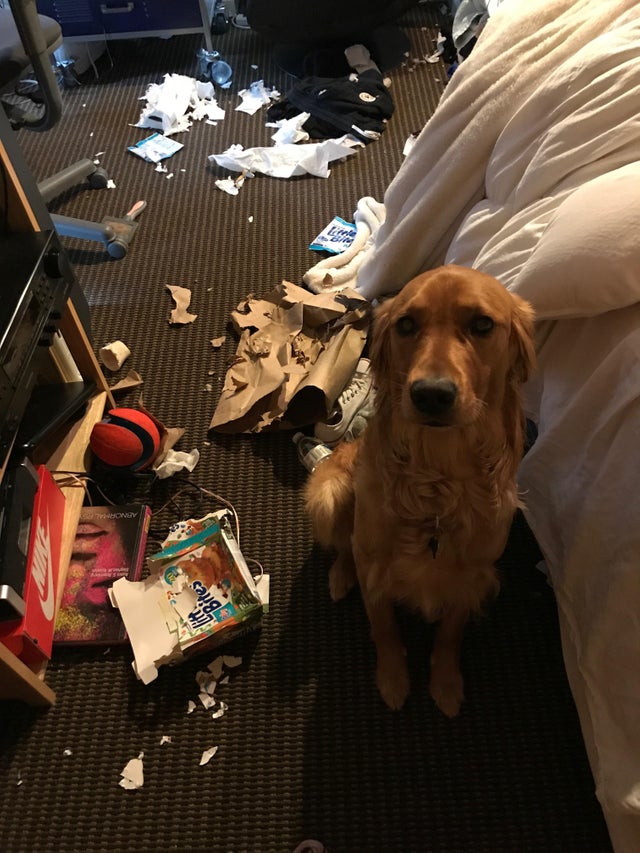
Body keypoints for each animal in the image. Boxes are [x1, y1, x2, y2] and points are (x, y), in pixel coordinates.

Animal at [304, 262, 536, 716]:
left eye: (483, 324)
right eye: (407, 324)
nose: (431, 394)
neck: (438, 482)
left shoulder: (472, 574)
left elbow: (450, 633)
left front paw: (445, 683)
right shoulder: (374, 564)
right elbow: (384, 627)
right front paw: (393, 680)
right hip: (328, 492)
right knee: (343, 544)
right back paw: (340, 575)